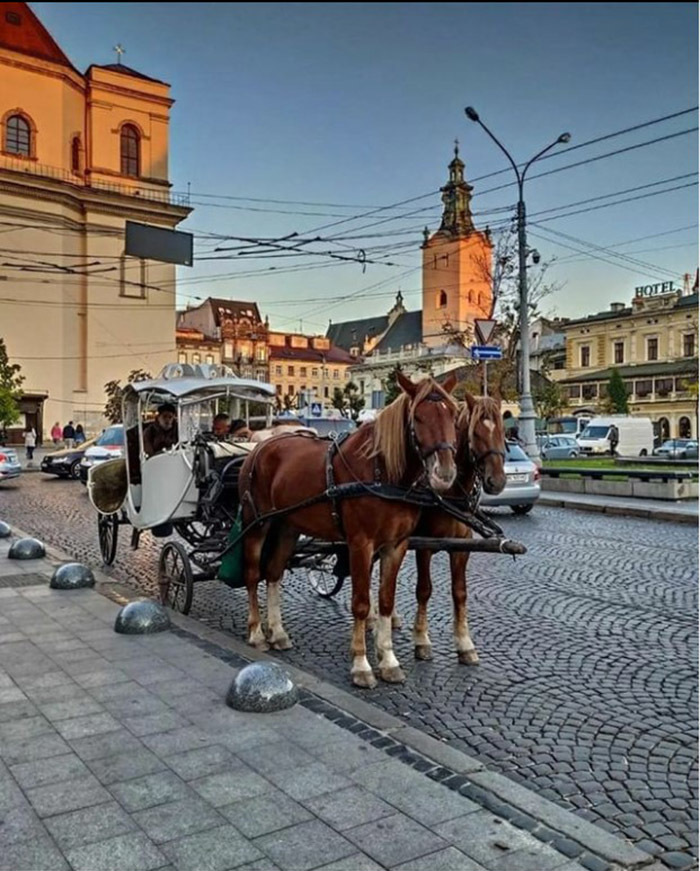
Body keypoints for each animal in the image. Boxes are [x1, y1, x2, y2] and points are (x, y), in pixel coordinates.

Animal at [239, 372, 460, 692]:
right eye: (418, 417)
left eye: (454, 415)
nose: (445, 473)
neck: (382, 473)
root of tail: (259, 446)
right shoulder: (360, 544)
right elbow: (361, 604)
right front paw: (361, 665)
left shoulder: (396, 545)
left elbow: (385, 601)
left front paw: (389, 661)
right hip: (257, 524)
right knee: (253, 574)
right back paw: (256, 632)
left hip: (287, 527)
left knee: (274, 572)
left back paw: (278, 632)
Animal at [412, 396, 506, 668]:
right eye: (475, 433)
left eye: (503, 430)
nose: (497, 481)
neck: (450, 493)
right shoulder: (423, 545)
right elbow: (424, 589)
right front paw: (421, 640)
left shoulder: (461, 547)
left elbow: (460, 593)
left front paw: (465, 643)